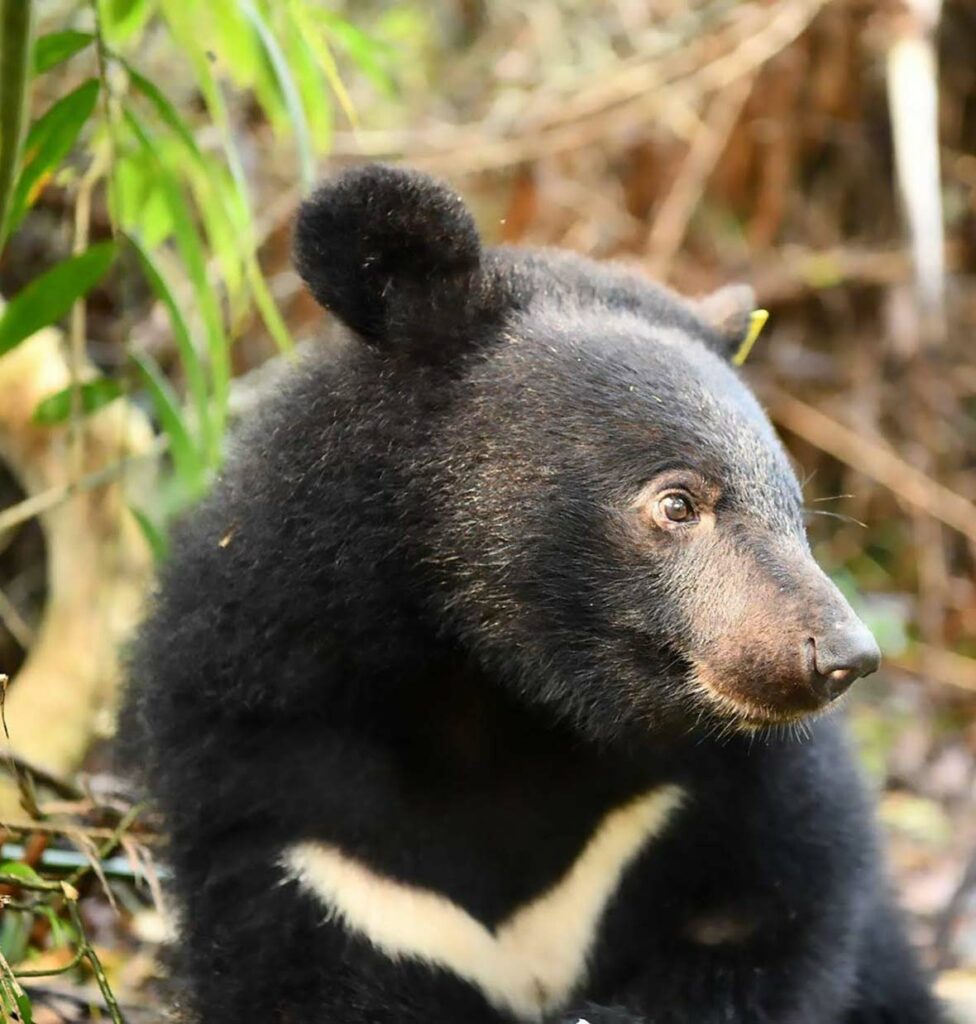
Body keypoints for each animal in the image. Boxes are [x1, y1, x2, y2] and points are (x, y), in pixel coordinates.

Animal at [123, 164, 940, 1024]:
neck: (497, 703)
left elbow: (771, 918)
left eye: (795, 508)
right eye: (678, 503)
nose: (842, 655)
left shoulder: (725, 795)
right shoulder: (293, 813)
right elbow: (300, 973)